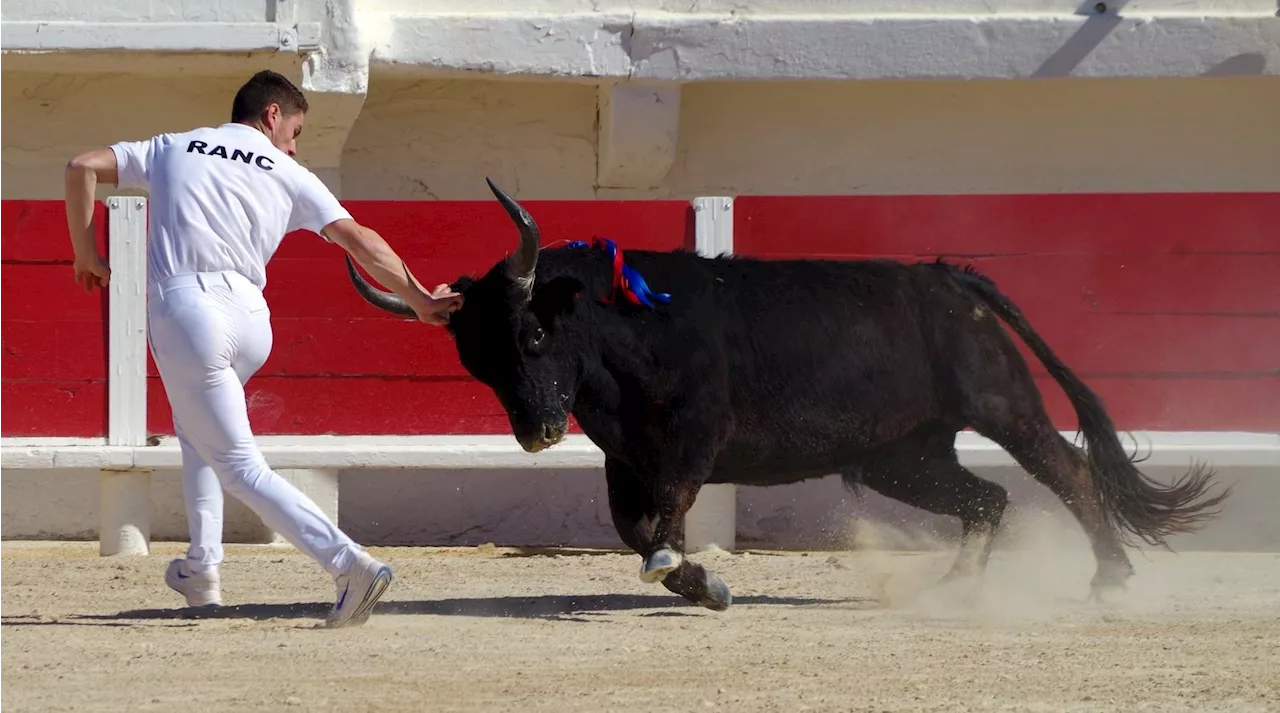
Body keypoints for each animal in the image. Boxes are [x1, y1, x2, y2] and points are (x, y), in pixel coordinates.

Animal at [348, 180, 1228, 609]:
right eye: (477, 365)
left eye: (531, 336)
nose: (535, 431)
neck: (628, 326)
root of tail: (951, 277)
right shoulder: (623, 458)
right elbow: (634, 528)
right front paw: (703, 585)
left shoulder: (694, 436)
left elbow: (663, 520)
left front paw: (688, 572)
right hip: (899, 456)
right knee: (987, 498)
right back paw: (950, 588)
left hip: (1000, 403)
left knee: (1066, 472)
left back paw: (1109, 578)